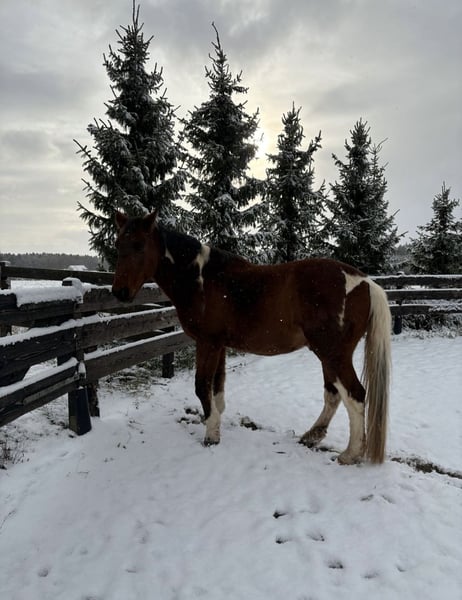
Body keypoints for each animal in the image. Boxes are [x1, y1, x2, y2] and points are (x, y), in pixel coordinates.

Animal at [112, 211, 391, 464]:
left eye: (139, 244)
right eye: (118, 245)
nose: (119, 292)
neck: (202, 278)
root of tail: (366, 282)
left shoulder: (207, 343)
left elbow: (202, 385)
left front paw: (211, 435)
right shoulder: (219, 346)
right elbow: (217, 387)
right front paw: (215, 421)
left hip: (333, 353)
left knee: (355, 394)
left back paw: (350, 454)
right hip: (327, 354)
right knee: (333, 394)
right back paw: (312, 436)